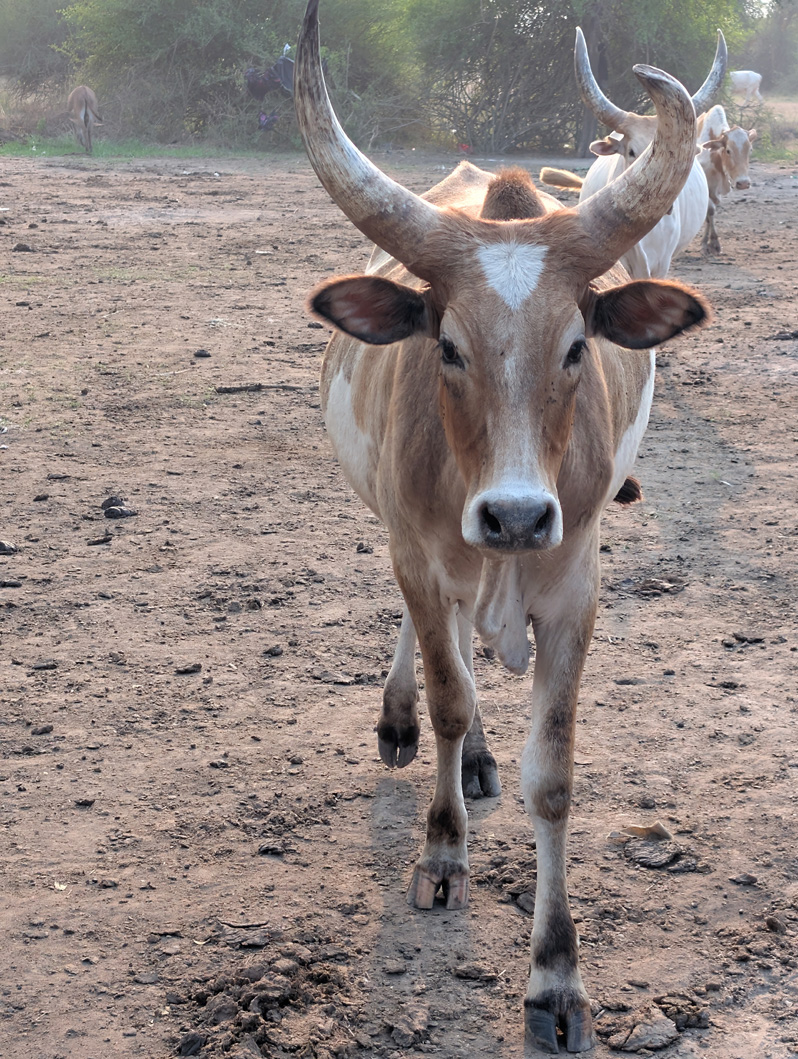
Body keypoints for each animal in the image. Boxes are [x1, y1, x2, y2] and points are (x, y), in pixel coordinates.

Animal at [294, 1, 710, 1051]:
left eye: (576, 346)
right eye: (446, 345)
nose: (517, 514)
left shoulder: (573, 591)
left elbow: (551, 776)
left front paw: (556, 976)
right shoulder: (418, 553)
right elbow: (450, 695)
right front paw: (444, 849)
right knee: (440, 656)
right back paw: (415, 726)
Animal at [697, 104, 757, 254]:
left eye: (750, 150)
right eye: (728, 150)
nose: (743, 183)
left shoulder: (715, 190)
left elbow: (710, 215)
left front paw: (710, 242)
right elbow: (710, 211)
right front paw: (710, 242)